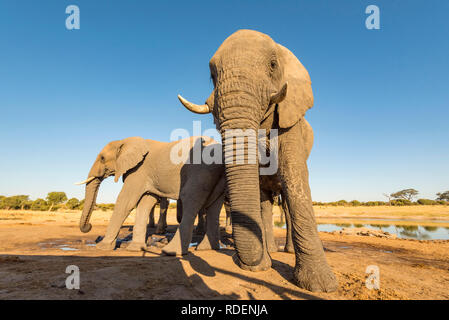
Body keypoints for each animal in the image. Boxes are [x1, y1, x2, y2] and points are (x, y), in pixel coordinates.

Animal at [75, 136, 228, 255]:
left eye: (102, 158)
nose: (89, 226)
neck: (124, 141)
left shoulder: (138, 171)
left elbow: (126, 201)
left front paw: (102, 248)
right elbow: (146, 202)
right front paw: (136, 249)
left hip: (201, 170)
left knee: (190, 199)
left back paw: (171, 252)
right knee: (214, 207)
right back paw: (206, 248)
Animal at [177, 30, 338, 292]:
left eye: (273, 65)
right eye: (212, 75)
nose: (241, 261)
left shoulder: (290, 116)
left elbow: (294, 176)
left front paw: (320, 286)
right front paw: (259, 268)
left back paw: (285, 252)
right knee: (264, 202)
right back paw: (270, 251)